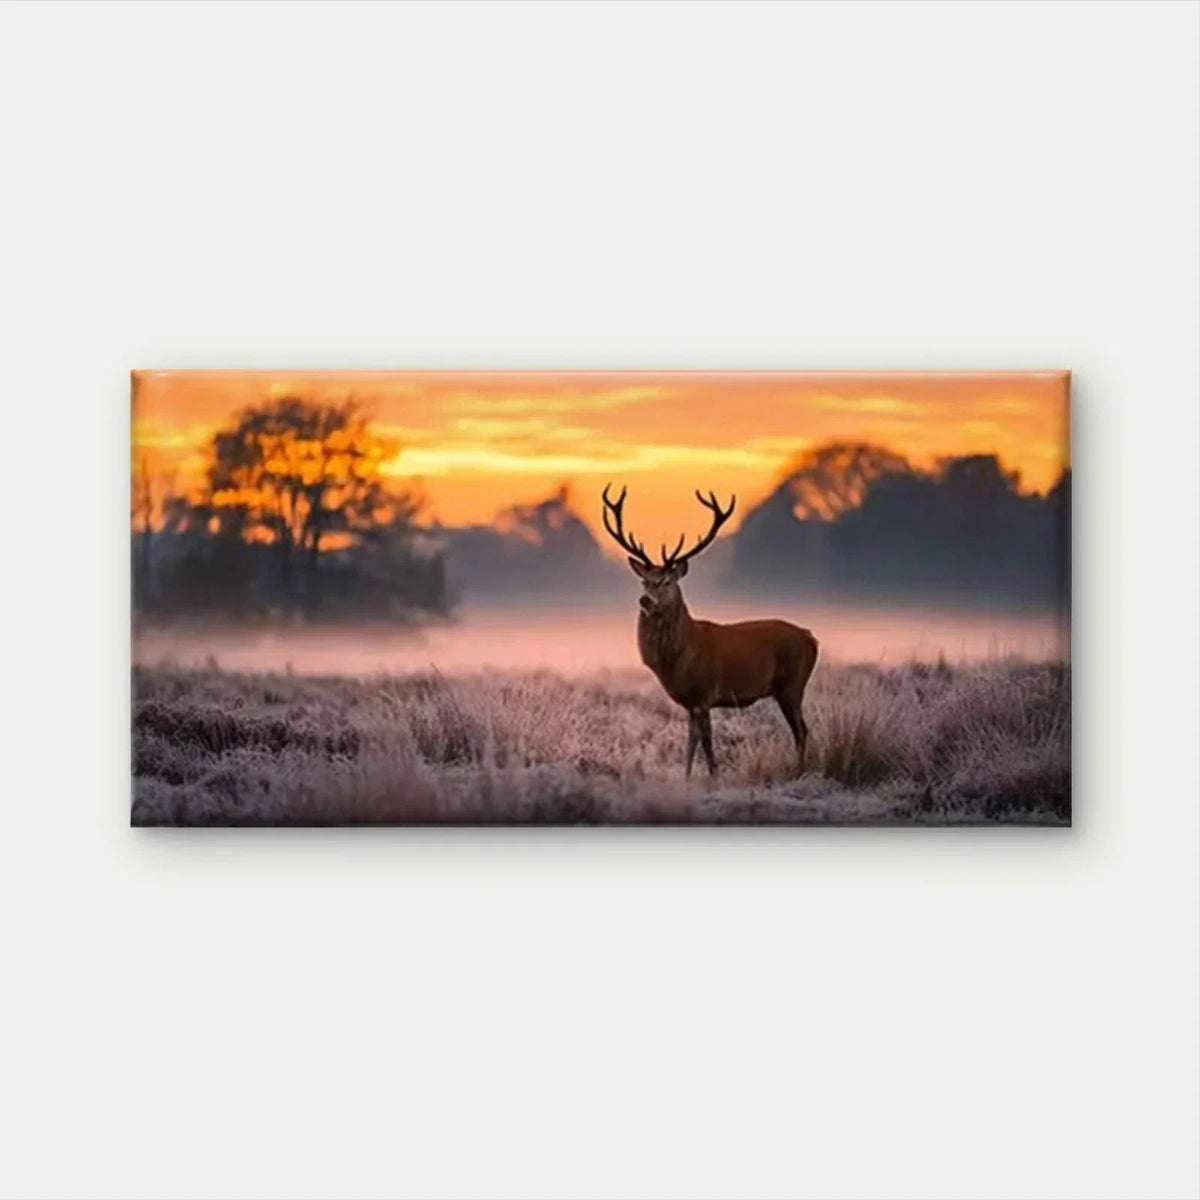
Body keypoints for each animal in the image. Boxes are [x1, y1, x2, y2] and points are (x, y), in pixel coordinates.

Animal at [602, 484, 819, 778]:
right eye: (644, 581)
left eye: (666, 581)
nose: (645, 600)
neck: (678, 660)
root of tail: (811, 638)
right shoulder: (689, 702)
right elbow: (690, 742)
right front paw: (686, 778)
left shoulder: (705, 694)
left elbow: (706, 740)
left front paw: (714, 777)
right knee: (801, 730)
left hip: (792, 685)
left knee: (802, 731)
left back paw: (798, 772)